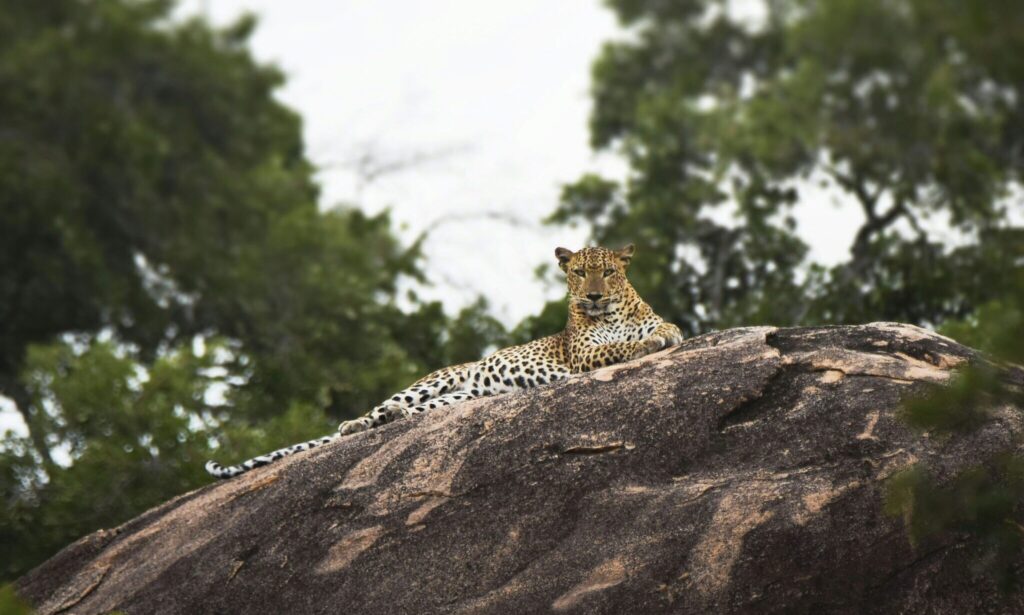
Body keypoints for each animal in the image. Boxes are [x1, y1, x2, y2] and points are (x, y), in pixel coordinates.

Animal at [205, 244, 679, 478]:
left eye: (609, 272)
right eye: (579, 273)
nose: (593, 295)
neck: (611, 313)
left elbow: (663, 328)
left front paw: (661, 336)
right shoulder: (582, 355)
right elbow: (615, 348)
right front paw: (645, 345)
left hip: (457, 398)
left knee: (413, 411)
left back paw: (393, 419)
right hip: (433, 382)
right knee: (376, 409)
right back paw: (359, 424)